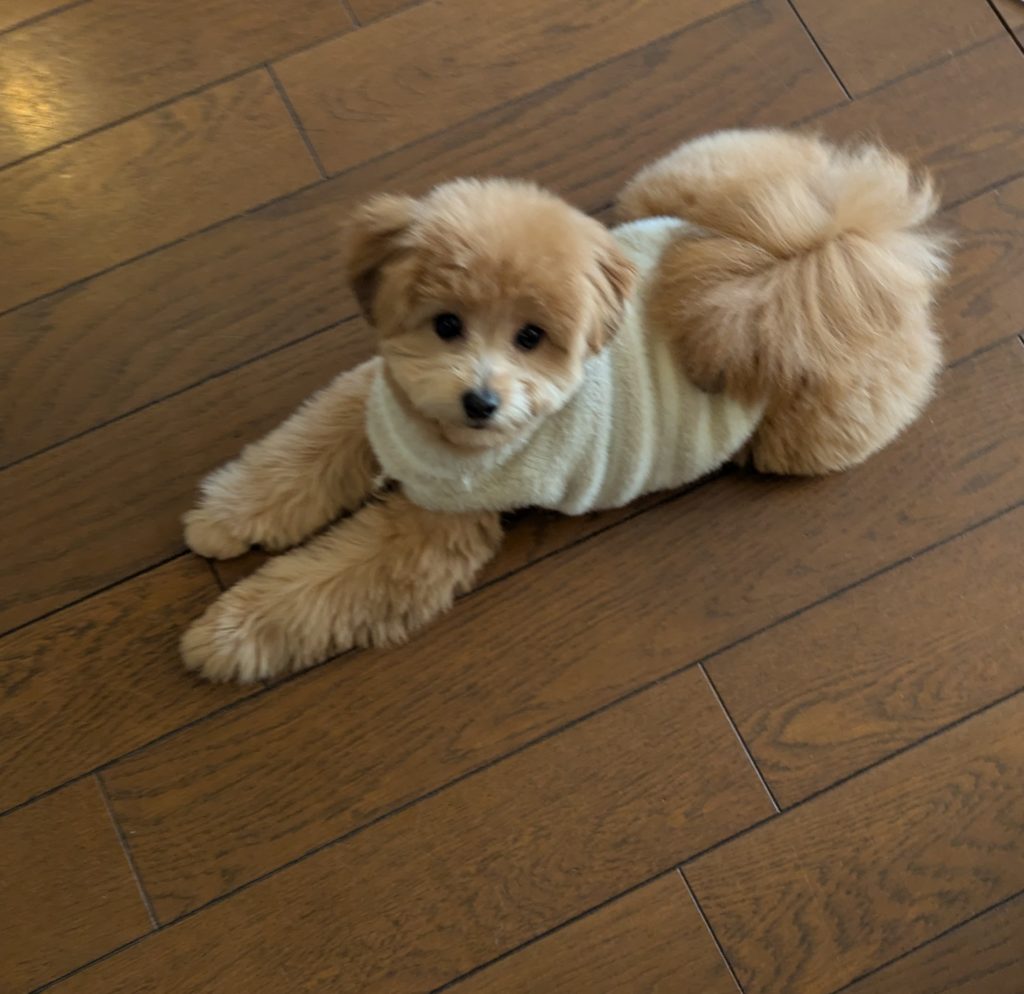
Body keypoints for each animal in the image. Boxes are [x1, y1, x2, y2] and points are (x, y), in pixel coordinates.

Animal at [180, 129, 947, 683]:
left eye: (531, 338)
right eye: (446, 324)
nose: (480, 400)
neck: (435, 435)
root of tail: (840, 262)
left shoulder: (423, 540)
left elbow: (319, 589)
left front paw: (223, 636)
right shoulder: (368, 410)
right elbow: (293, 461)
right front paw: (223, 521)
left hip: (806, 437)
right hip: (693, 183)